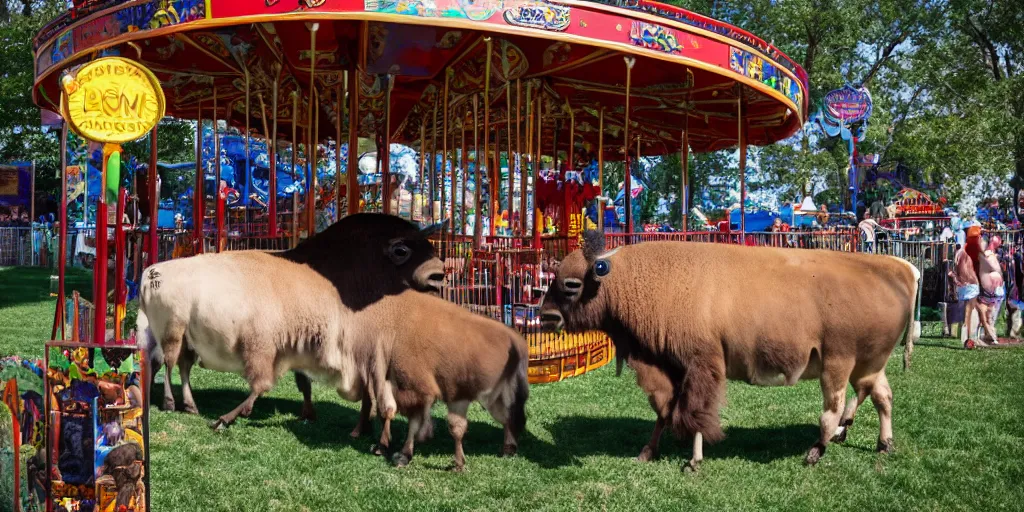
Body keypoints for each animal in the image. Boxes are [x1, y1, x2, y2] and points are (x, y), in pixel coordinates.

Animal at [136, 214, 444, 430]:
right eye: (401, 249)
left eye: (428, 244)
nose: (438, 275)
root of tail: (151, 272)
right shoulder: (269, 345)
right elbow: (263, 383)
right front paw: (228, 417)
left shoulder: (301, 343)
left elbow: (302, 382)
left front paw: (308, 413)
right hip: (173, 334)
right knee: (169, 363)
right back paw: (170, 403)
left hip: (185, 339)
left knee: (178, 366)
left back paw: (189, 405)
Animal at [350, 290, 528, 468]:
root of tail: (516, 340)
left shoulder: (423, 391)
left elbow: (427, 422)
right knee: (509, 416)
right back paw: (508, 449)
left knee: (509, 415)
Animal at [544, 230, 921, 468]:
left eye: (571, 284)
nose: (546, 316)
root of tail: (900, 268)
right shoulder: (669, 369)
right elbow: (665, 412)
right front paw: (647, 452)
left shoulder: (701, 365)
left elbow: (696, 413)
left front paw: (693, 461)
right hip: (868, 364)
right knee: (881, 396)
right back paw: (882, 445)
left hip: (838, 363)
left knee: (835, 407)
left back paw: (816, 451)